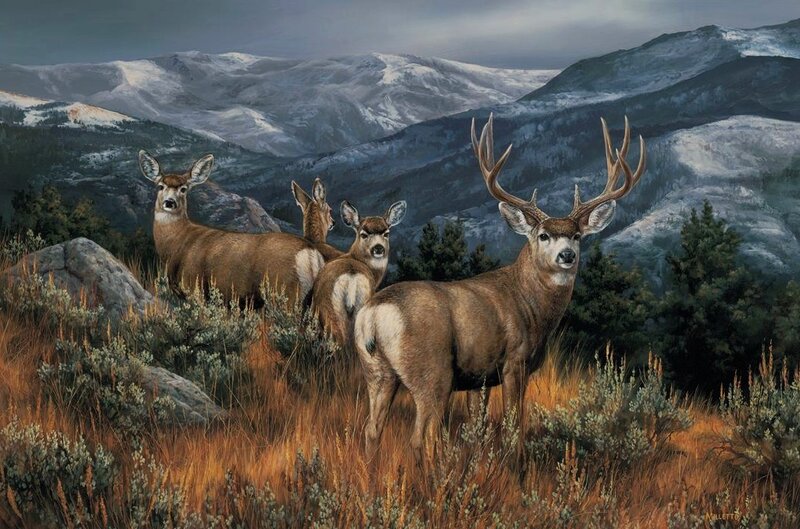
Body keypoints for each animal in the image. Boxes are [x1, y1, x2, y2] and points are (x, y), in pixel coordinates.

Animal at [139, 150, 325, 305]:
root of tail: (311, 255)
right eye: (160, 186)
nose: (169, 202)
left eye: (183, 189)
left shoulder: (194, 287)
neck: (178, 242)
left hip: (286, 292)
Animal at [353, 115, 646, 462]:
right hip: (431, 370)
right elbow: (512, 425)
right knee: (420, 436)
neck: (530, 306)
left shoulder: (479, 377)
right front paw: (513, 464)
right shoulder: (514, 361)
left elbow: (477, 427)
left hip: (376, 371)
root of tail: (373, 314)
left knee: (372, 430)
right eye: (544, 235)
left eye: (577, 235)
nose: (567, 256)